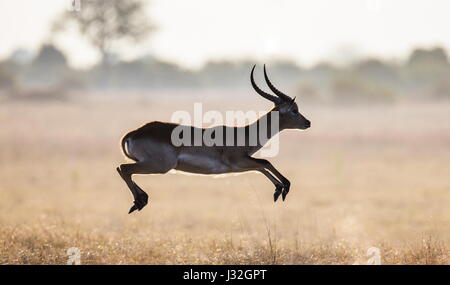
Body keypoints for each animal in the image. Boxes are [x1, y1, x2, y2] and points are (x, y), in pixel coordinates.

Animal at [118, 63, 312, 211]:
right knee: (124, 168)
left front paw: (278, 190)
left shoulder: (241, 165)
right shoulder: (238, 162)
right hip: (160, 166)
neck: (245, 134)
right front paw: (284, 188)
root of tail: (135, 132)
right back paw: (140, 201)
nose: (307, 123)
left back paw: (140, 201)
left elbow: (261, 166)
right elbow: (265, 162)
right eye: (295, 110)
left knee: (122, 169)